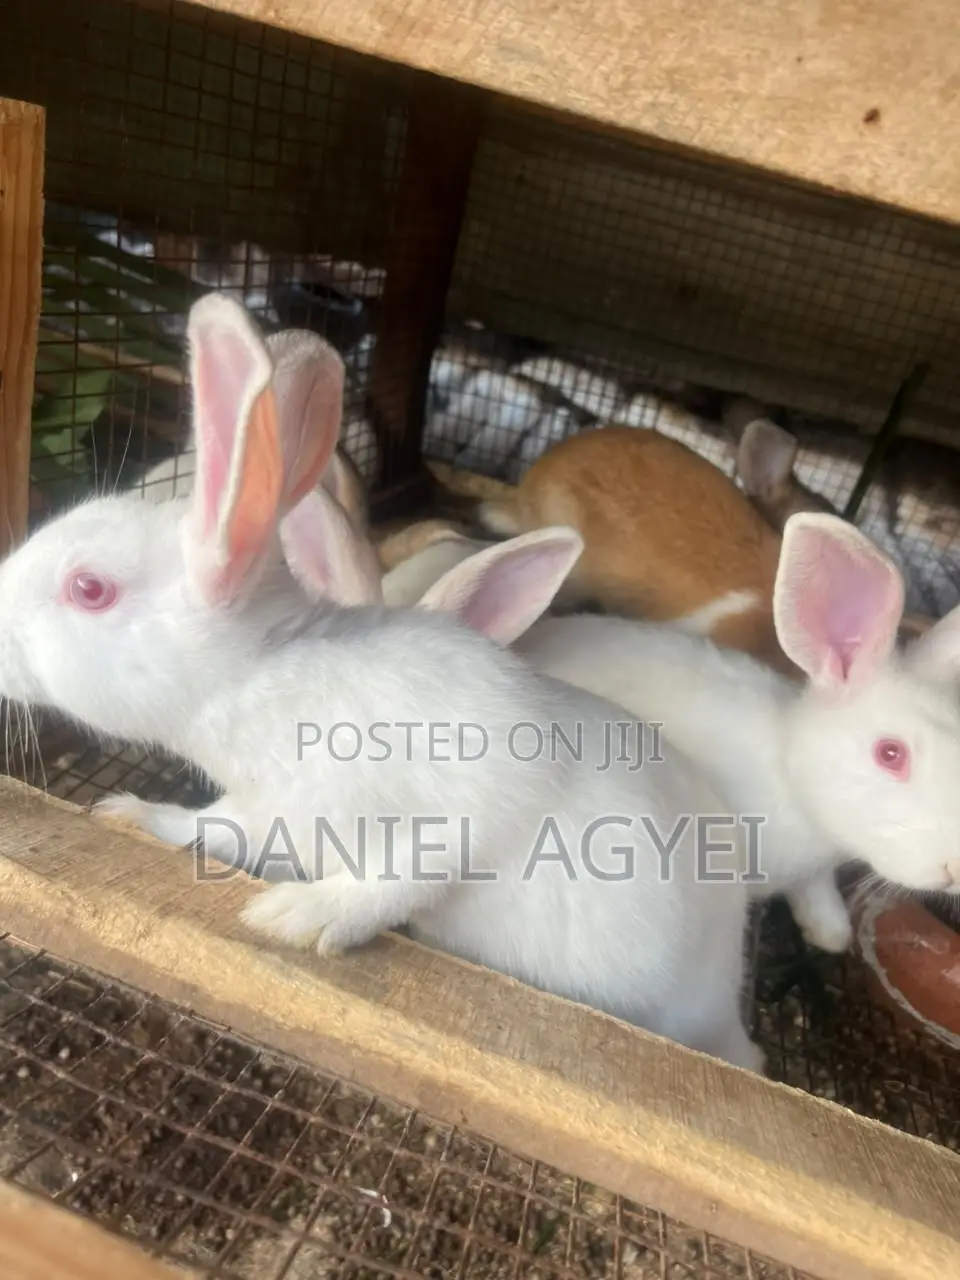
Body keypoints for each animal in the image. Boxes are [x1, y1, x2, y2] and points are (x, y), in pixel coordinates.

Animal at [0, 290, 763, 1073]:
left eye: (89, 589)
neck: (259, 676)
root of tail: (723, 1008)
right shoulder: (269, 810)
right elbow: (212, 830)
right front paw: (130, 816)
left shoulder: (452, 808)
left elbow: (400, 873)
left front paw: (300, 916)